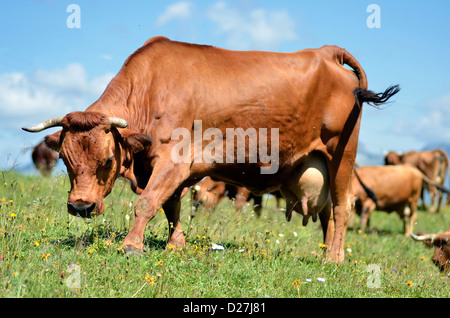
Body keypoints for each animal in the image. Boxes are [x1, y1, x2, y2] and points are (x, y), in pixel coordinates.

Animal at [22, 35, 400, 264]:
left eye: (108, 159)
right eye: (64, 158)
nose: (80, 206)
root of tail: (326, 52)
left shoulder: (172, 161)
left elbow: (148, 202)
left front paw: (132, 245)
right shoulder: (163, 167)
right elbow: (170, 206)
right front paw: (176, 244)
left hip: (342, 155)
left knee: (341, 208)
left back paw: (333, 258)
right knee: (326, 214)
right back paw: (323, 253)